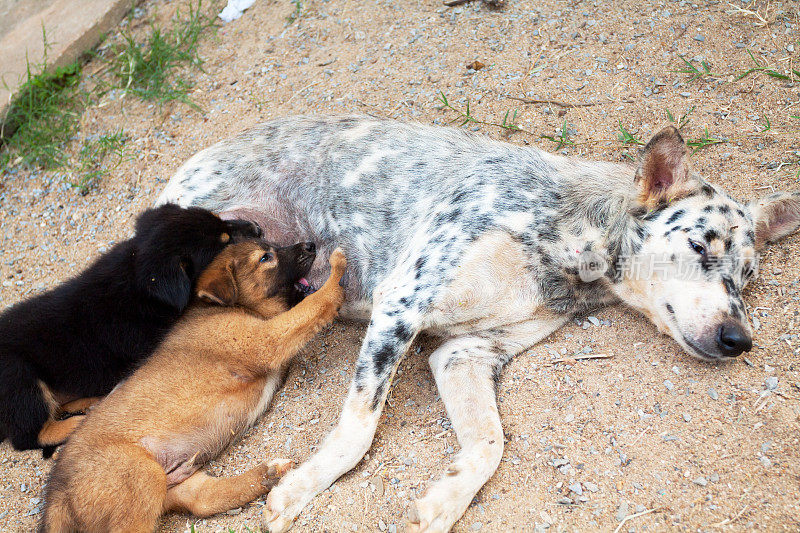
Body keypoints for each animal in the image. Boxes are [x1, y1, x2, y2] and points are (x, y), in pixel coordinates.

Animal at [0, 202, 260, 456]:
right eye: (224, 243)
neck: (136, 273)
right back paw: (75, 424)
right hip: (20, 379)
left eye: (221, 219)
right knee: (28, 436)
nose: (257, 227)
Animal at [39, 242, 346, 532]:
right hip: (141, 478)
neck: (231, 308)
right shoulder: (266, 339)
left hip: (171, 482)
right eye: (265, 257)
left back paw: (269, 474)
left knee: (202, 500)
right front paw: (337, 273)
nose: (310, 245)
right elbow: (313, 305)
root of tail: (56, 496)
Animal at [158, 116, 800, 532]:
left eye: (747, 277)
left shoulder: (464, 352)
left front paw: (445, 500)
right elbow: (357, 432)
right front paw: (299, 489)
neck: (570, 240)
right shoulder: (403, 302)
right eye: (698, 245)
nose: (740, 340)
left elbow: (490, 443)